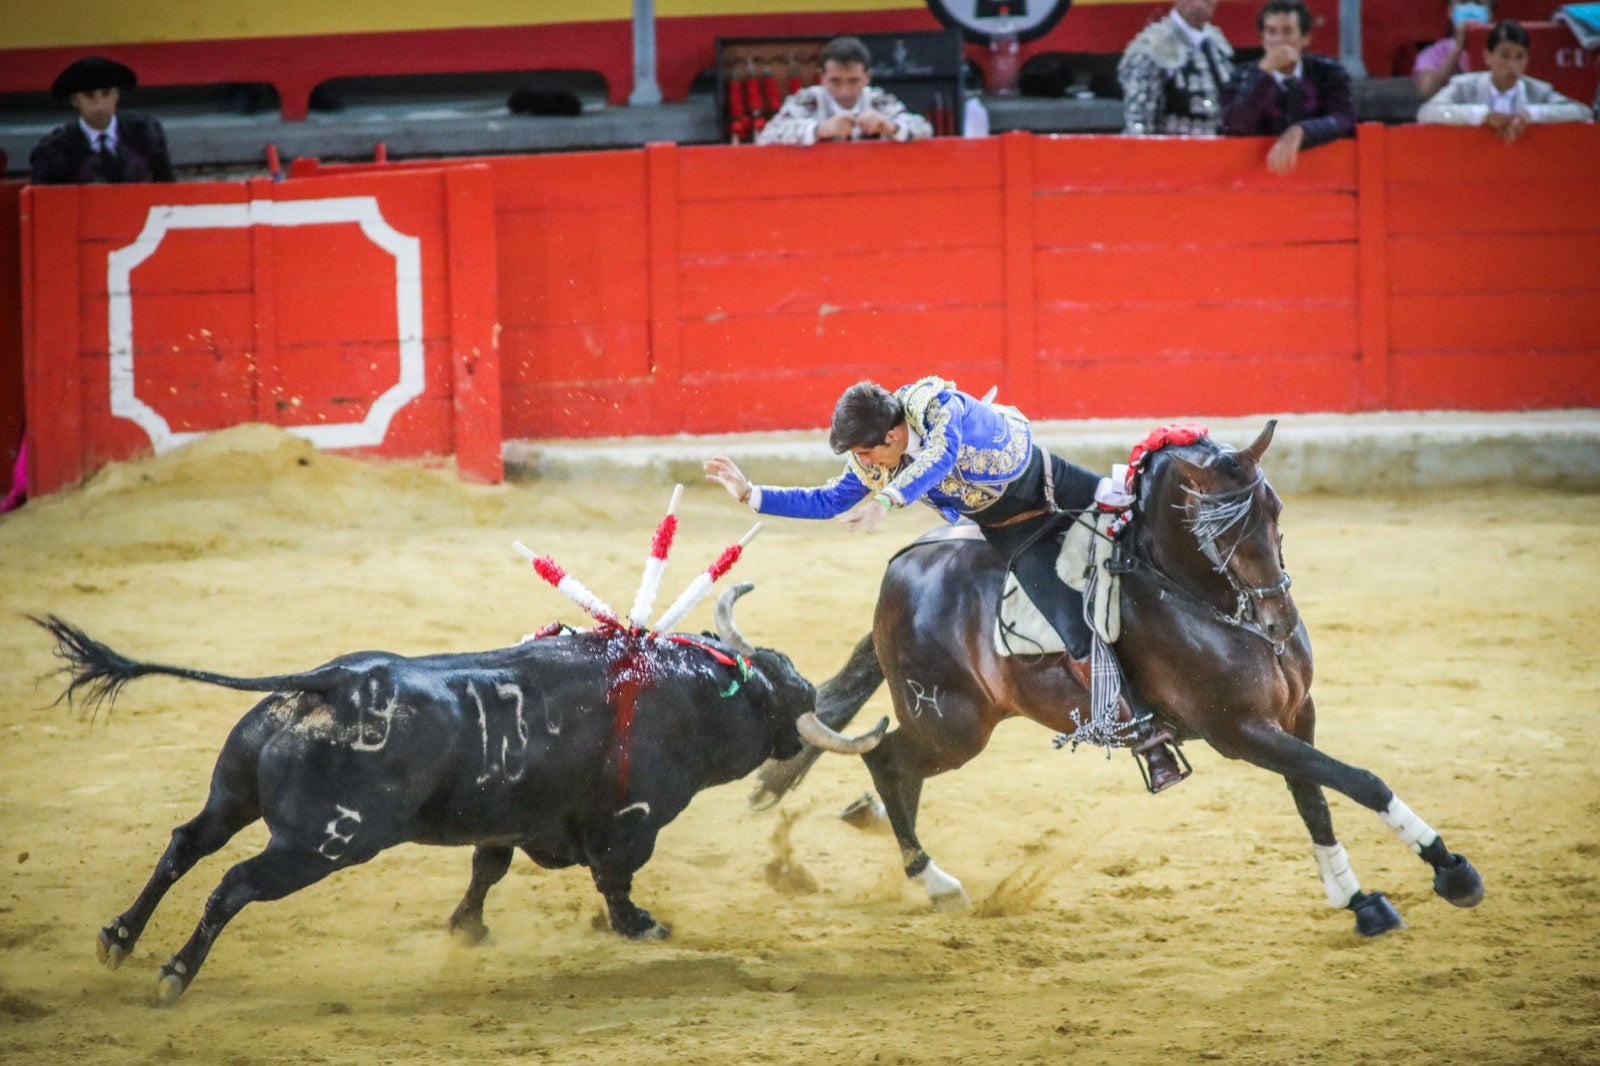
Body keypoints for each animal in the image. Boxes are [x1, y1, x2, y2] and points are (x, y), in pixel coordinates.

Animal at [34, 582, 889, 1005]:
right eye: (783, 695)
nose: (807, 705)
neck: (692, 690)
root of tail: (331, 681)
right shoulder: (631, 822)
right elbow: (615, 880)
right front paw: (644, 928)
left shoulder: (511, 820)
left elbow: (487, 870)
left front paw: (465, 930)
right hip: (323, 843)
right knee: (233, 885)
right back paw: (174, 974)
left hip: (234, 797)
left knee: (185, 845)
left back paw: (118, 939)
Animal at [755, 419, 1478, 934]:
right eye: (1218, 530)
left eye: (1275, 511)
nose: (1277, 620)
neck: (1198, 597)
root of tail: (901, 568)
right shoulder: (1241, 732)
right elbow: (1357, 779)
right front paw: (1450, 870)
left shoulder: (1295, 715)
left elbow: (1315, 796)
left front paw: (1358, 898)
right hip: (950, 724)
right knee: (887, 759)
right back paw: (935, 881)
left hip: (949, 726)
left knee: (896, 772)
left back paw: (876, 826)